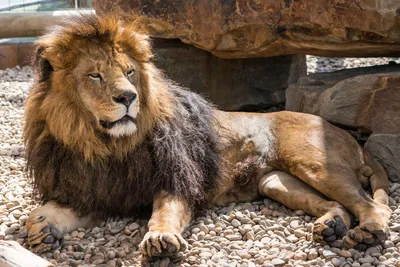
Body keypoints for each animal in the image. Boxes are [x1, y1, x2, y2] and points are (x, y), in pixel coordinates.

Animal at [24, 14, 390, 258]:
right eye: (95, 76)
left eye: (129, 72)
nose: (128, 97)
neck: (104, 145)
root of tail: (344, 134)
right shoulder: (93, 191)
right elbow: (40, 212)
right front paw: (41, 230)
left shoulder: (178, 179)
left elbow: (165, 211)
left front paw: (160, 239)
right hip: (277, 182)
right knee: (337, 205)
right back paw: (332, 226)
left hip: (315, 165)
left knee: (372, 205)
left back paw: (367, 234)